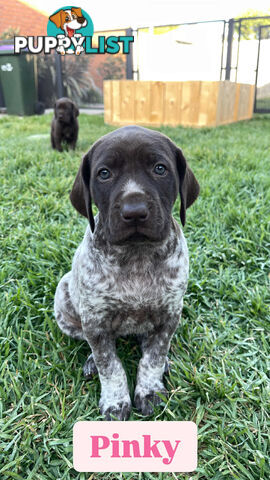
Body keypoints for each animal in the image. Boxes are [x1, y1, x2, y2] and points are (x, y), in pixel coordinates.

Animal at [53, 126, 199, 420]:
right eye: (104, 173)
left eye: (159, 168)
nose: (135, 212)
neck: (136, 256)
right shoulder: (95, 321)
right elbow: (110, 365)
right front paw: (115, 401)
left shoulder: (169, 315)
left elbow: (153, 357)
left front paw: (150, 390)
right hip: (64, 301)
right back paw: (90, 361)